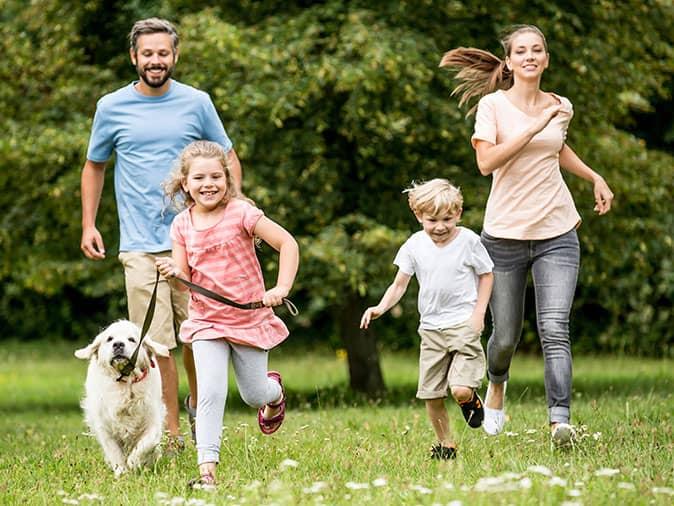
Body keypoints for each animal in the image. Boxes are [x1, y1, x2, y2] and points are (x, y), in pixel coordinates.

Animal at [74, 318, 169, 476]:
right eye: (109, 339)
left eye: (132, 339)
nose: (118, 344)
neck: (126, 383)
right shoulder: (104, 427)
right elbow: (114, 451)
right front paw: (121, 472)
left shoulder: (153, 420)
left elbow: (146, 443)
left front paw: (134, 462)